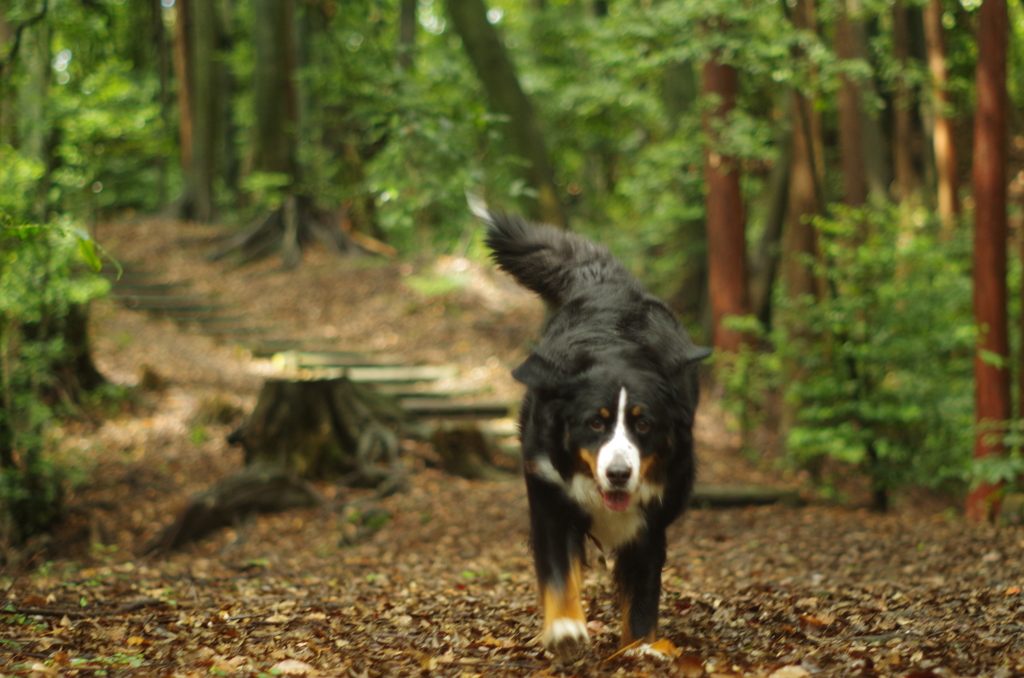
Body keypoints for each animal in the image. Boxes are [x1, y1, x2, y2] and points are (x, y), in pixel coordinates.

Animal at [477, 209, 708, 659]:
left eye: (643, 424)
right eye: (595, 423)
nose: (618, 474)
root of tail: (604, 280)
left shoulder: (650, 524)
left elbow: (642, 597)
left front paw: (639, 649)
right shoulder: (548, 496)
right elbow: (558, 573)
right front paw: (565, 627)